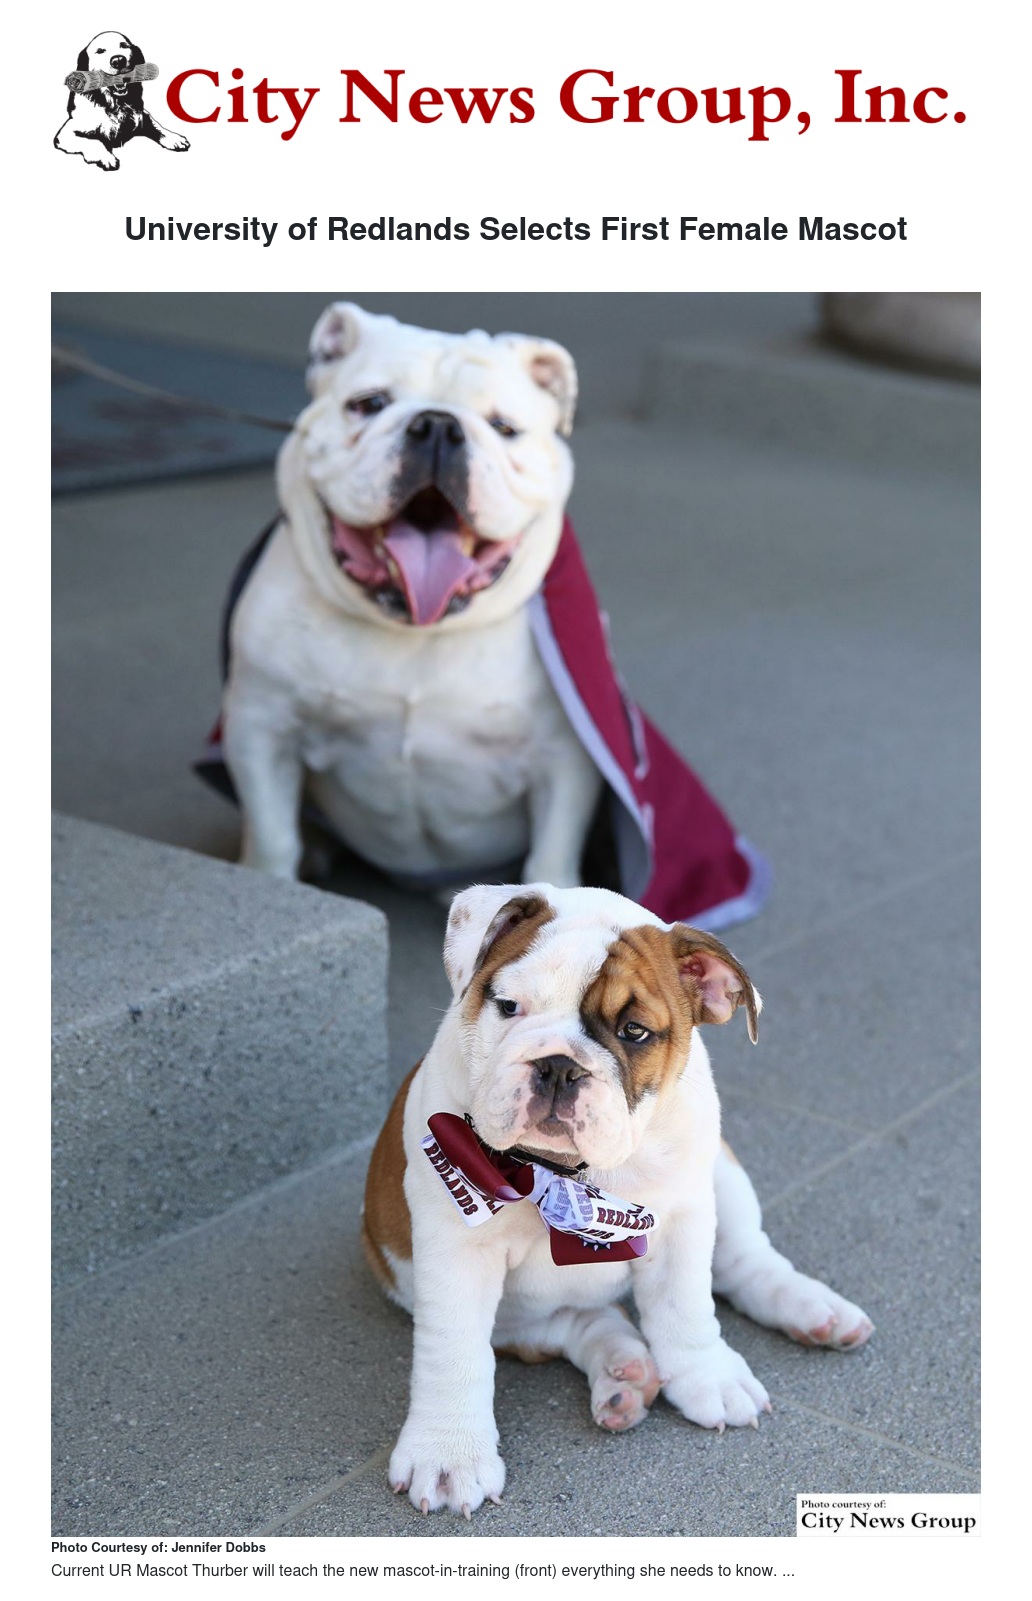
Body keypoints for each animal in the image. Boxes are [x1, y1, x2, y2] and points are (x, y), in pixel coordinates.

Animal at [55, 31, 189, 172]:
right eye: (100, 51)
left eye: (124, 46)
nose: (118, 60)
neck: (115, 103)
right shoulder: (65, 134)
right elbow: (94, 141)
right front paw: (107, 158)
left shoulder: (141, 114)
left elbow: (157, 125)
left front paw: (174, 138)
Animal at [363, 882, 873, 1516]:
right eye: (507, 1006)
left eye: (635, 1032)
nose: (558, 1066)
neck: (565, 1173)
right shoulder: (457, 1246)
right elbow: (454, 1353)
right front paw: (447, 1453)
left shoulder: (681, 1218)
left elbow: (685, 1305)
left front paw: (708, 1376)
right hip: (510, 1314)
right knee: (575, 1324)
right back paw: (622, 1372)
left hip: (721, 1174)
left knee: (742, 1260)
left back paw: (812, 1310)